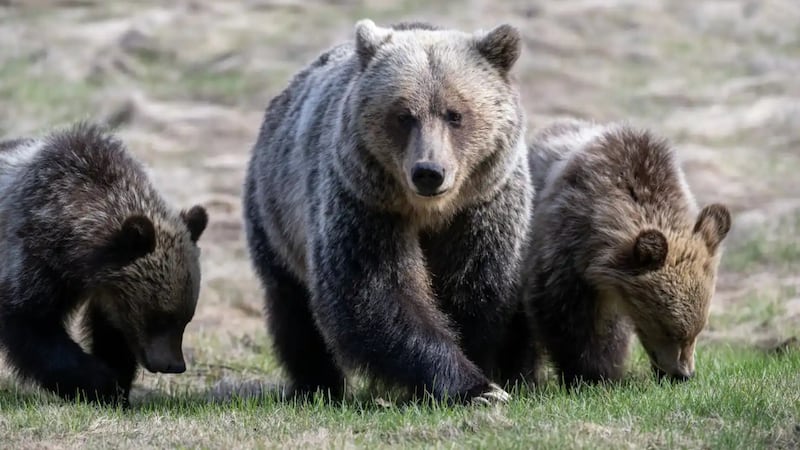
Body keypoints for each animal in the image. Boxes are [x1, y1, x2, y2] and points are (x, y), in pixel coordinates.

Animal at [0, 122, 208, 405]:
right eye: (160, 317)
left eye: (187, 318)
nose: (173, 365)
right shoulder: (32, 259)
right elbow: (31, 323)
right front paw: (100, 382)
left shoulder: (110, 296)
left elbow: (111, 336)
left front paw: (118, 388)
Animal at [243, 19, 532, 404]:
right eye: (404, 115)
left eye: (455, 114)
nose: (429, 172)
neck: (431, 212)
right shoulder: (366, 206)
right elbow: (376, 294)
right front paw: (476, 387)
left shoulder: (483, 209)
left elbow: (480, 289)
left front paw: (490, 375)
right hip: (275, 213)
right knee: (293, 309)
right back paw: (316, 385)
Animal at [520, 119, 731, 385]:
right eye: (667, 328)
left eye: (698, 330)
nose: (683, 374)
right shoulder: (565, 246)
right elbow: (564, 315)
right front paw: (591, 373)